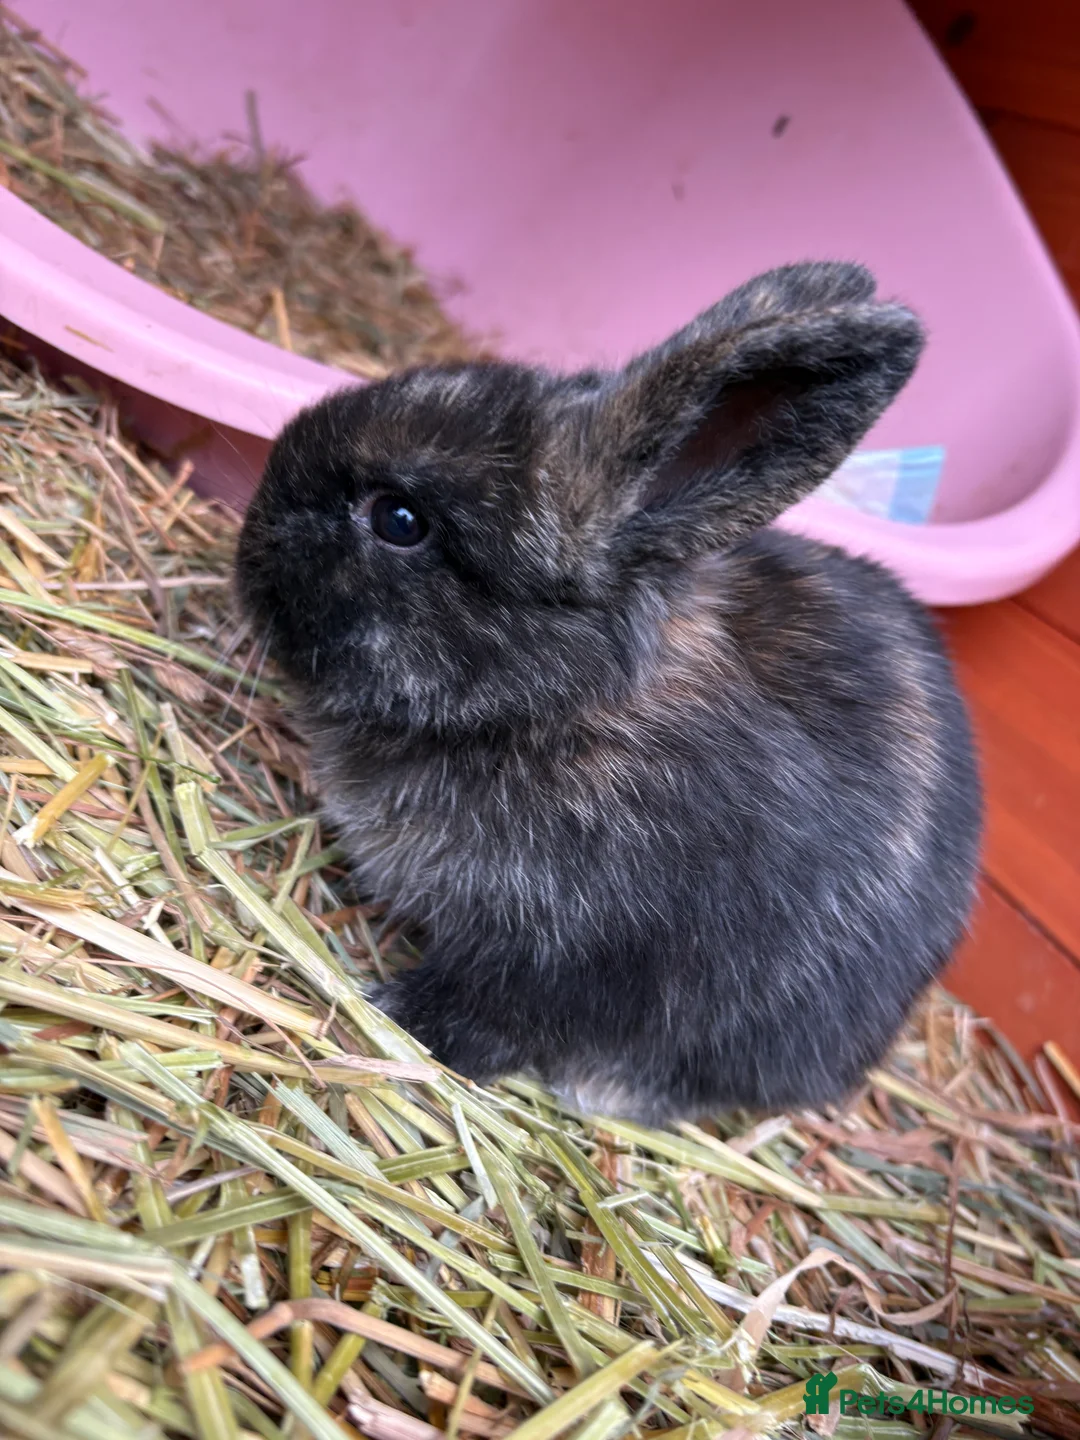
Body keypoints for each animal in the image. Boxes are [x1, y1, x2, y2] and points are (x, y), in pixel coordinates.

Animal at [236, 260, 982, 1125]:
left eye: (399, 519)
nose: (250, 538)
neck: (563, 704)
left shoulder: (563, 957)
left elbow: (488, 1015)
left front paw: (397, 1017)